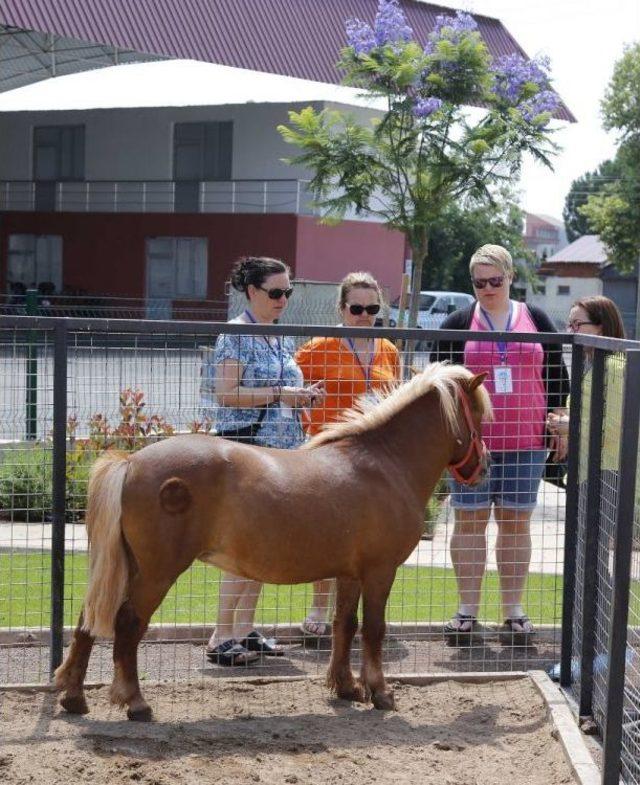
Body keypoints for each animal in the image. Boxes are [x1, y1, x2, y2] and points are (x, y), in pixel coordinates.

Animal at [55, 362, 490, 716]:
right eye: (480, 418)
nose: (484, 466)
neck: (383, 464)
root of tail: (130, 462)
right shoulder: (380, 572)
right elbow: (373, 629)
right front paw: (380, 692)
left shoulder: (350, 574)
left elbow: (344, 625)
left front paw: (345, 687)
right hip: (156, 573)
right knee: (128, 624)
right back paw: (135, 702)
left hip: (124, 566)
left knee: (88, 620)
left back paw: (74, 697)